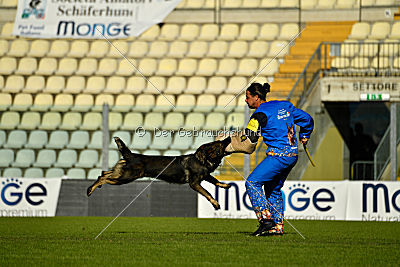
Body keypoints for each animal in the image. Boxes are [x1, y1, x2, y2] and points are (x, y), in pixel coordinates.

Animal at [86, 137, 233, 210]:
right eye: (220, 143)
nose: (229, 137)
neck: (203, 160)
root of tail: (131, 155)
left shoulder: (206, 176)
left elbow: (216, 181)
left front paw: (225, 185)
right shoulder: (194, 183)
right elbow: (208, 193)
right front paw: (215, 204)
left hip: (122, 175)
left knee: (104, 173)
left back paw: (93, 187)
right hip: (125, 178)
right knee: (104, 178)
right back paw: (91, 189)